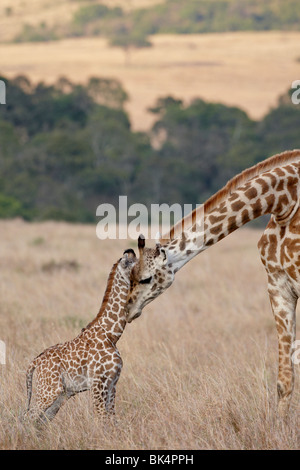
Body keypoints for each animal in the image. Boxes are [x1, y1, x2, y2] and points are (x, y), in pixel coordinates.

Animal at [25, 250, 137, 426]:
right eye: (135, 265)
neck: (111, 334)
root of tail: (35, 362)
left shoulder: (112, 383)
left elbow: (112, 418)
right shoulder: (99, 383)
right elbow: (101, 417)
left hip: (61, 395)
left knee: (41, 420)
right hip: (49, 391)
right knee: (28, 417)